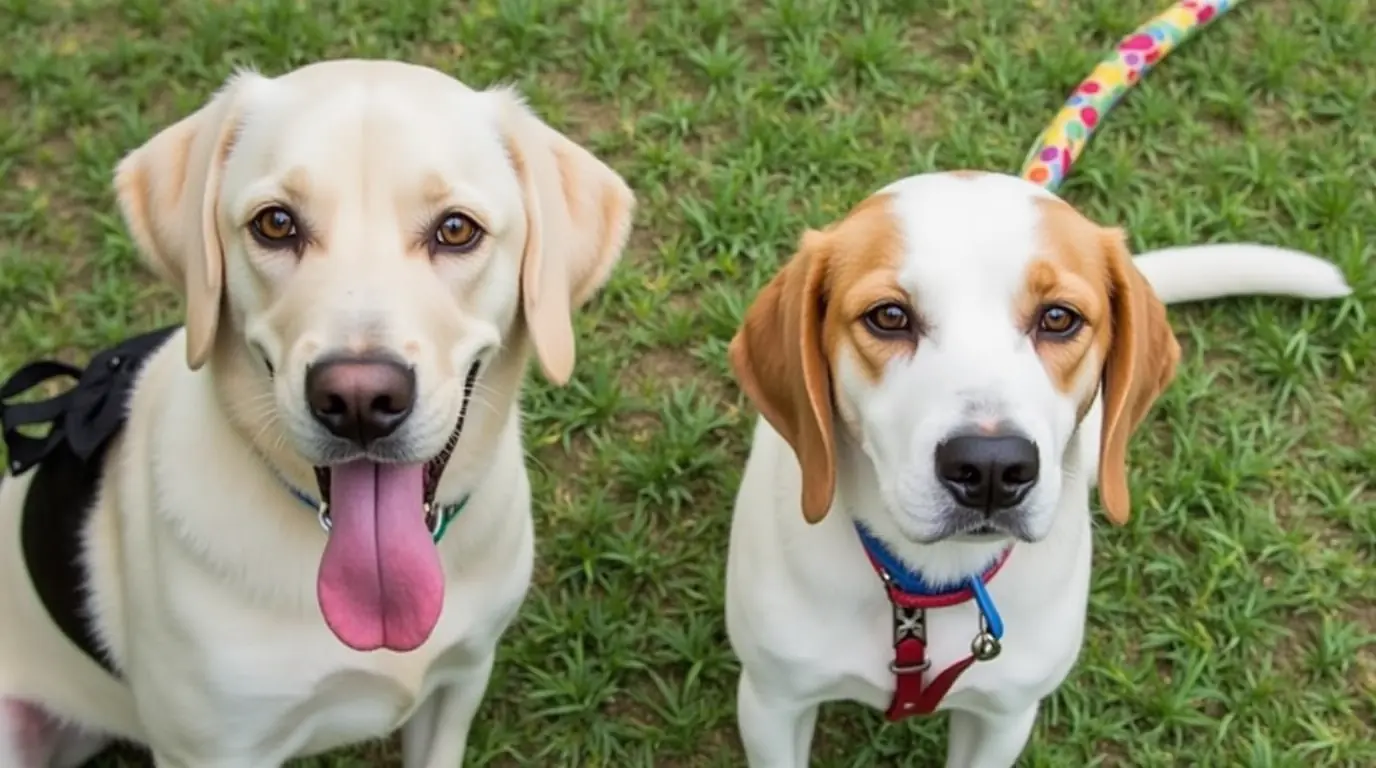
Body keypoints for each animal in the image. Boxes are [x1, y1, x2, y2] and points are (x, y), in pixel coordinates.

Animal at [726, 173, 1348, 768]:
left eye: (1058, 317)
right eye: (889, 316)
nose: (991, 467)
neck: (926, 588)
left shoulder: (1004, 717)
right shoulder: (772, 702)